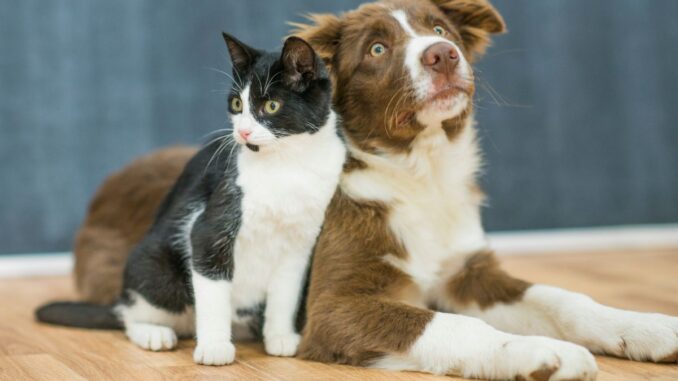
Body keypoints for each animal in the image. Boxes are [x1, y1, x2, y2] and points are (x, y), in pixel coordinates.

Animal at [35, 33, 346, 366]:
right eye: (237, 104)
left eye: (272, 106)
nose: (243, 132)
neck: (288, 164)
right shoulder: (209, 228)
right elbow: (212, 292)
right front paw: (214, 347)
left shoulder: (300, 244)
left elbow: (285, 294)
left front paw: (280, 337)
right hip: (157, 271)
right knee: (130, 314)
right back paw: (153, 333)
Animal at [71, 0, 676, 378]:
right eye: (378, 50)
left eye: (442, 29)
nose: (443, 55)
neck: (417, 175)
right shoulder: (335, 306)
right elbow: (451, 326)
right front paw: (539, 353)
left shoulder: (467, 272)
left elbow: (563, 297)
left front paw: (643, 326)